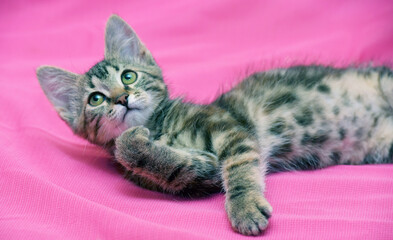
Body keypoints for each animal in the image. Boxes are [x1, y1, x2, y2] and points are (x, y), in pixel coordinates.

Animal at [36, 15, 392, 236]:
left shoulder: (231, 128)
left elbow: (239, 168)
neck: (162, 127)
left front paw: (245, 208)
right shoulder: (196, 175)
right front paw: (132, 143)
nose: (122, 98)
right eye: (95, 99)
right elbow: (178, 165)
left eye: (128, 76)